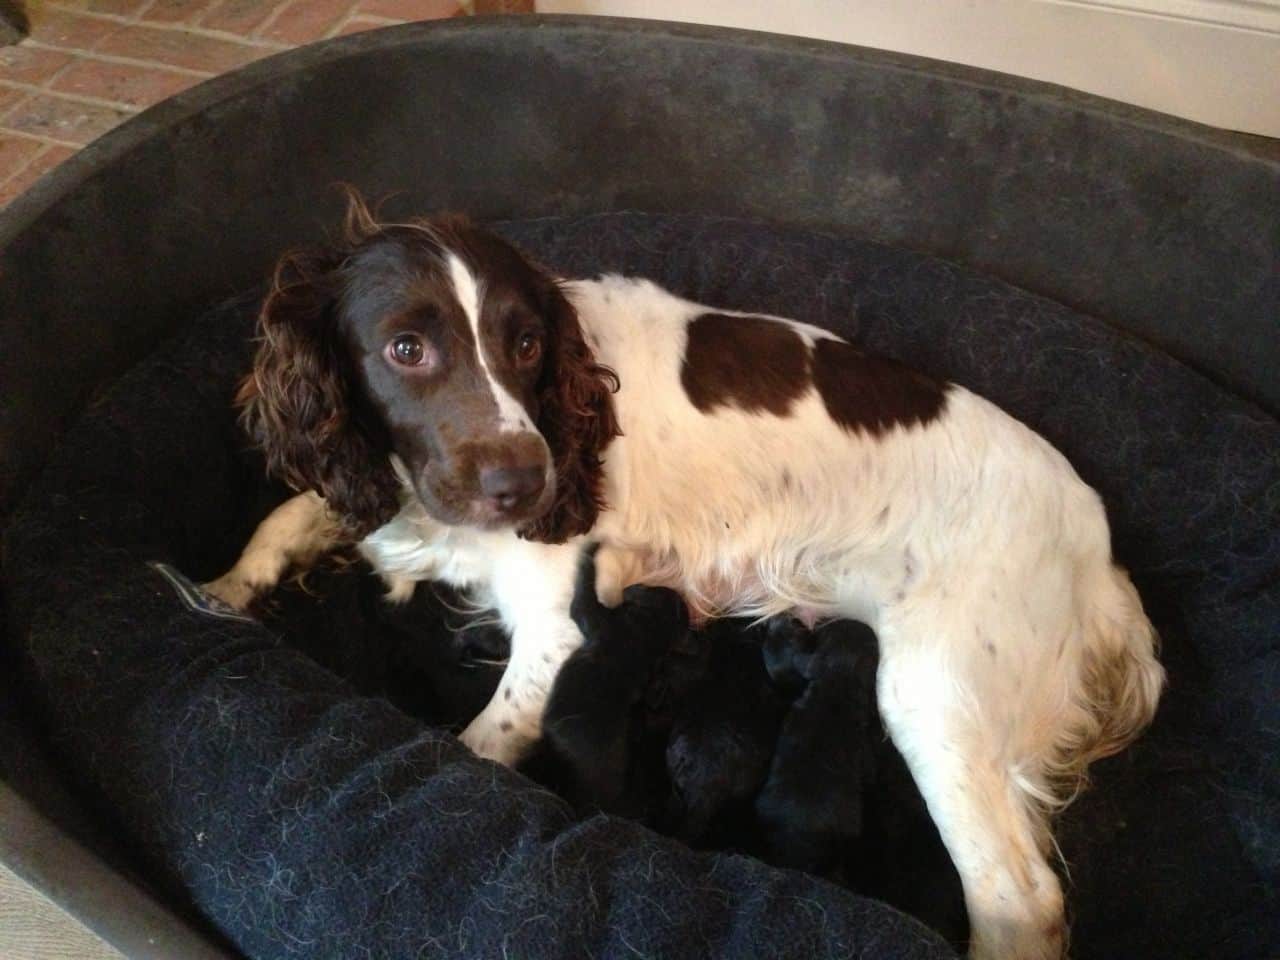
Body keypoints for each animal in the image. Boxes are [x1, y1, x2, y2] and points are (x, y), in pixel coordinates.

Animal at [209, 197, 1172, 960]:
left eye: (526, 343)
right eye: (405, 348)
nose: (527, 483)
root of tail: (1098, 554)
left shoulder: (557, 630)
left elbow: (477, 748)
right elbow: (289, 515)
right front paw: (221, 590)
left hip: (934, 690)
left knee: (1021, 900)